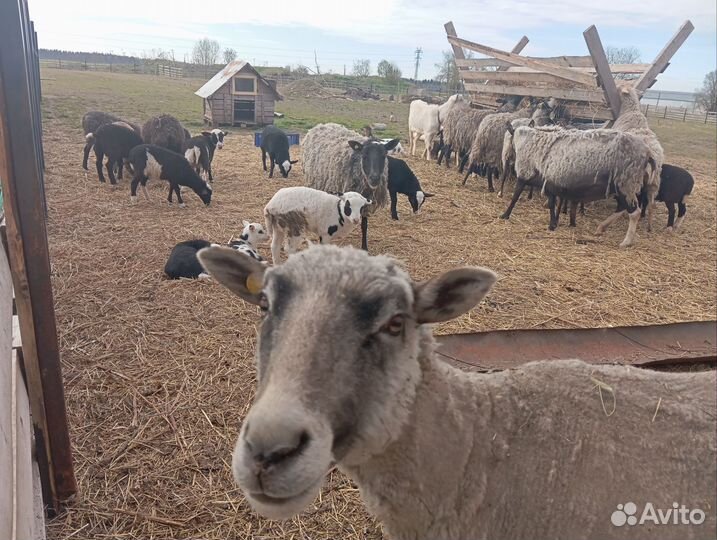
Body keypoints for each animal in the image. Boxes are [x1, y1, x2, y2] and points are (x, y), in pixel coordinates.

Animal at [503, 126, 655, 247]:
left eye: (509, 139)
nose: (507, 158)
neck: (528, 142)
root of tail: (648, 152)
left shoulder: (524, 175)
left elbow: (515, 196)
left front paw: (504, 215)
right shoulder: (549, 182)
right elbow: (551, 204)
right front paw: (552, 225)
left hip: (626, 182)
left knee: (634, 213)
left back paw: (626, 242)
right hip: (621, 186)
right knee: (623, 207)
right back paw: (601, 228)